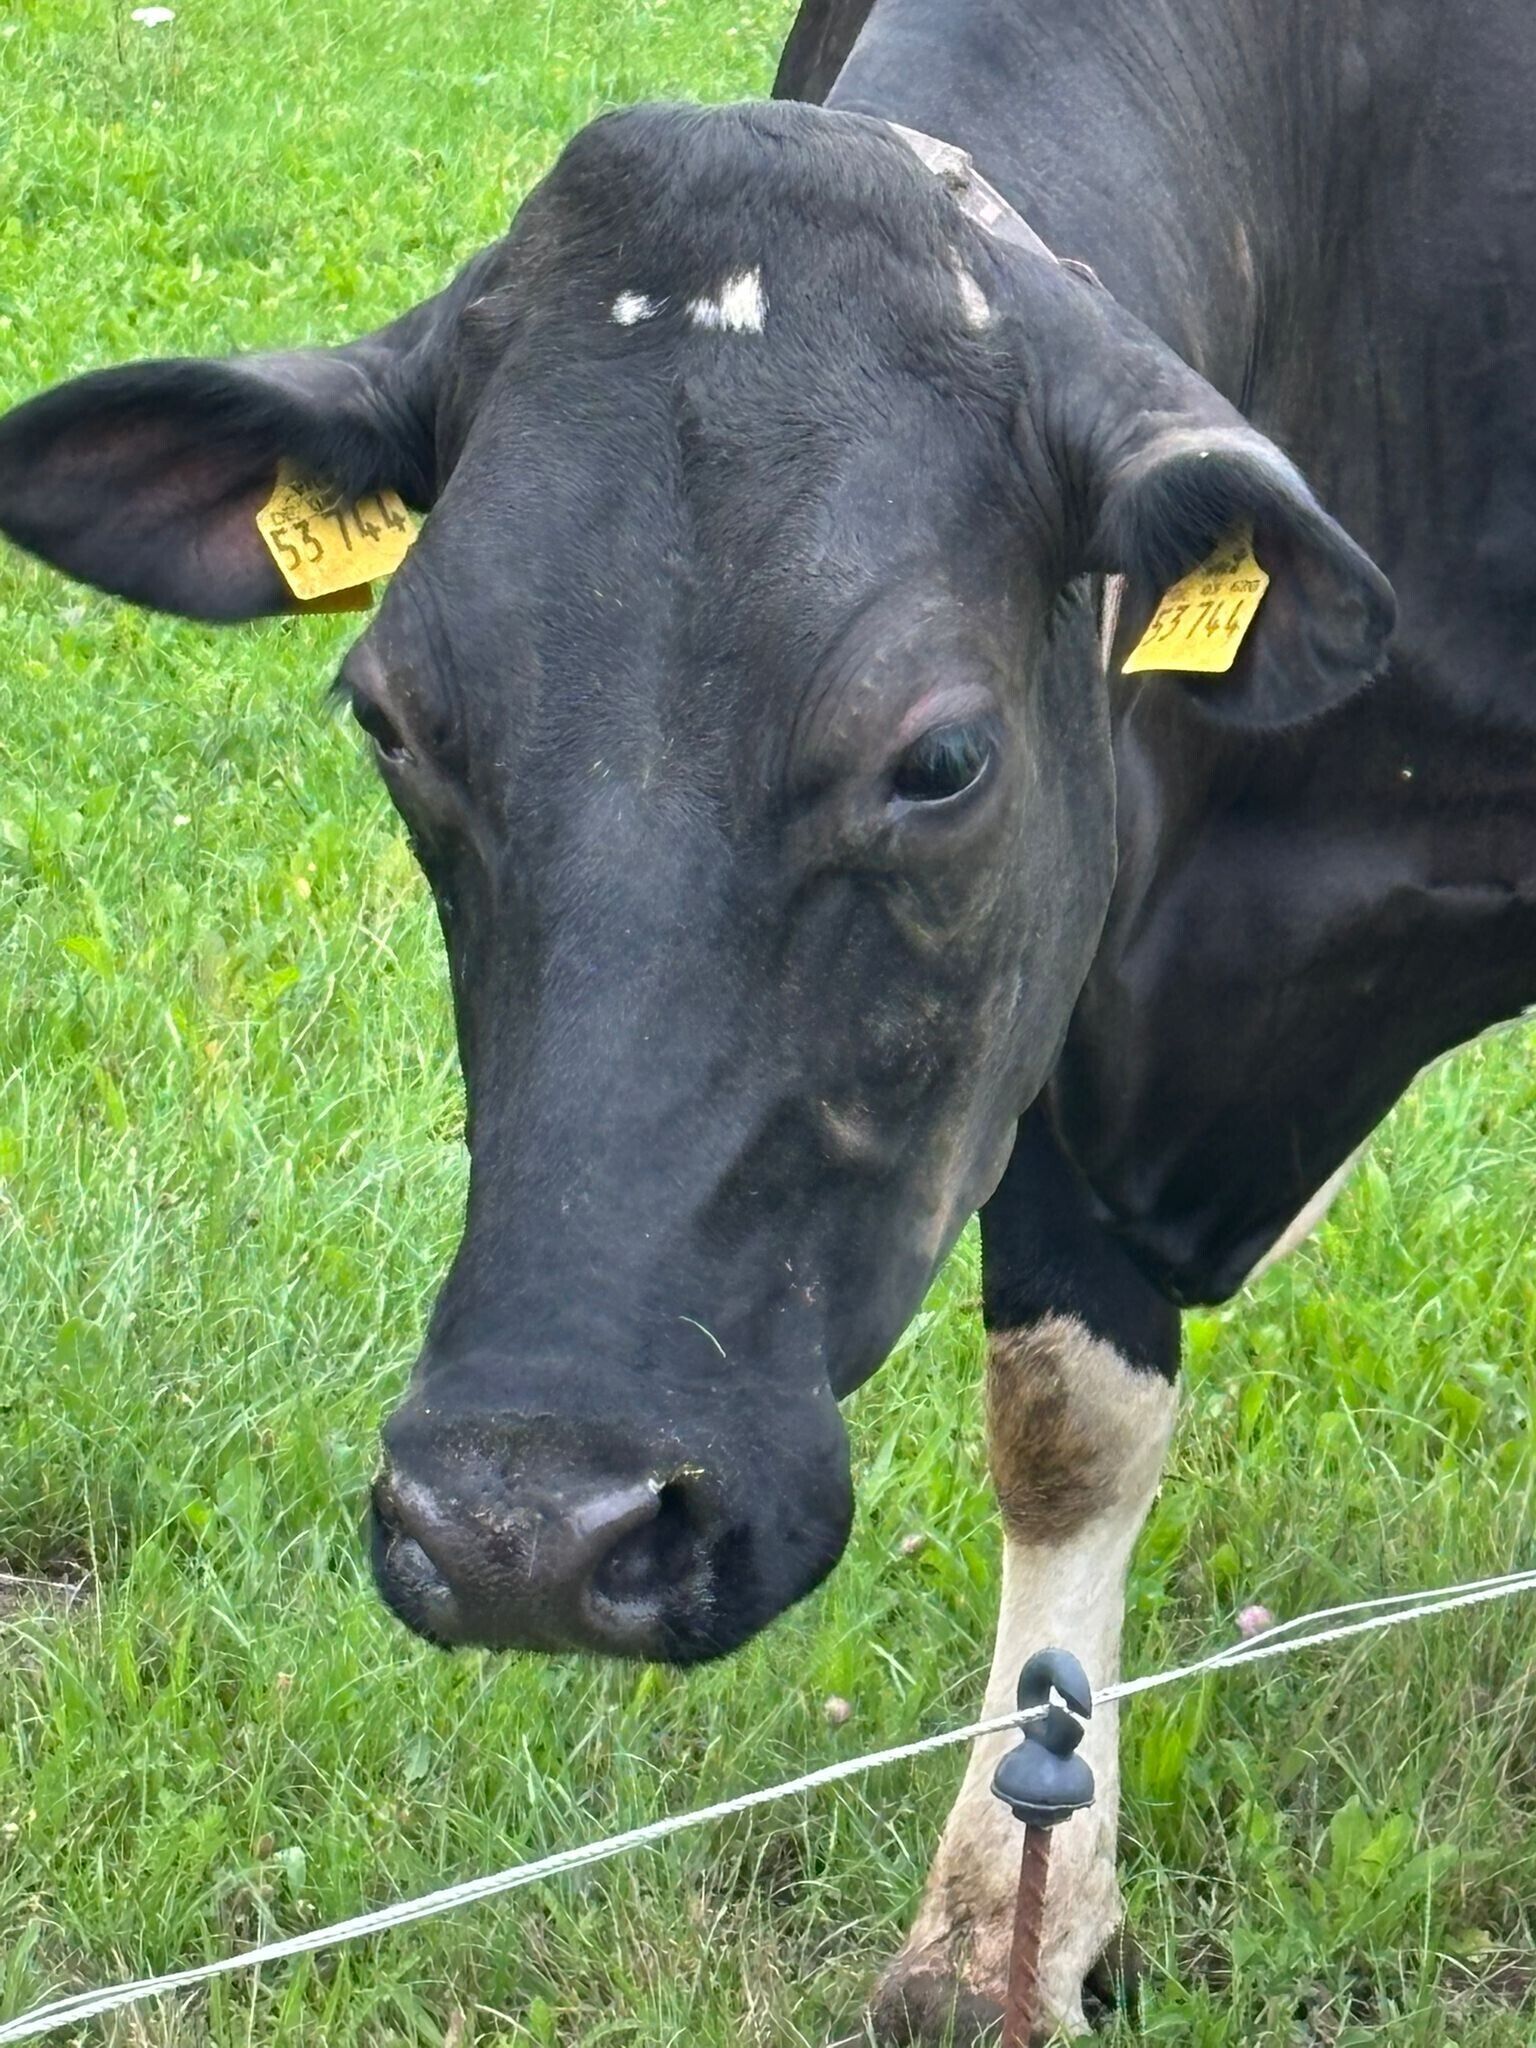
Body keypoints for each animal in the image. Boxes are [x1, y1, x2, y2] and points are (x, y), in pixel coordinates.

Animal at [1, 0, 1532, 2037]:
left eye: (940, 758)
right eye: (389, 716)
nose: (522, 1529)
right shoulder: (1057, 987)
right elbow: (1064, 1424)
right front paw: (1005, 1928)